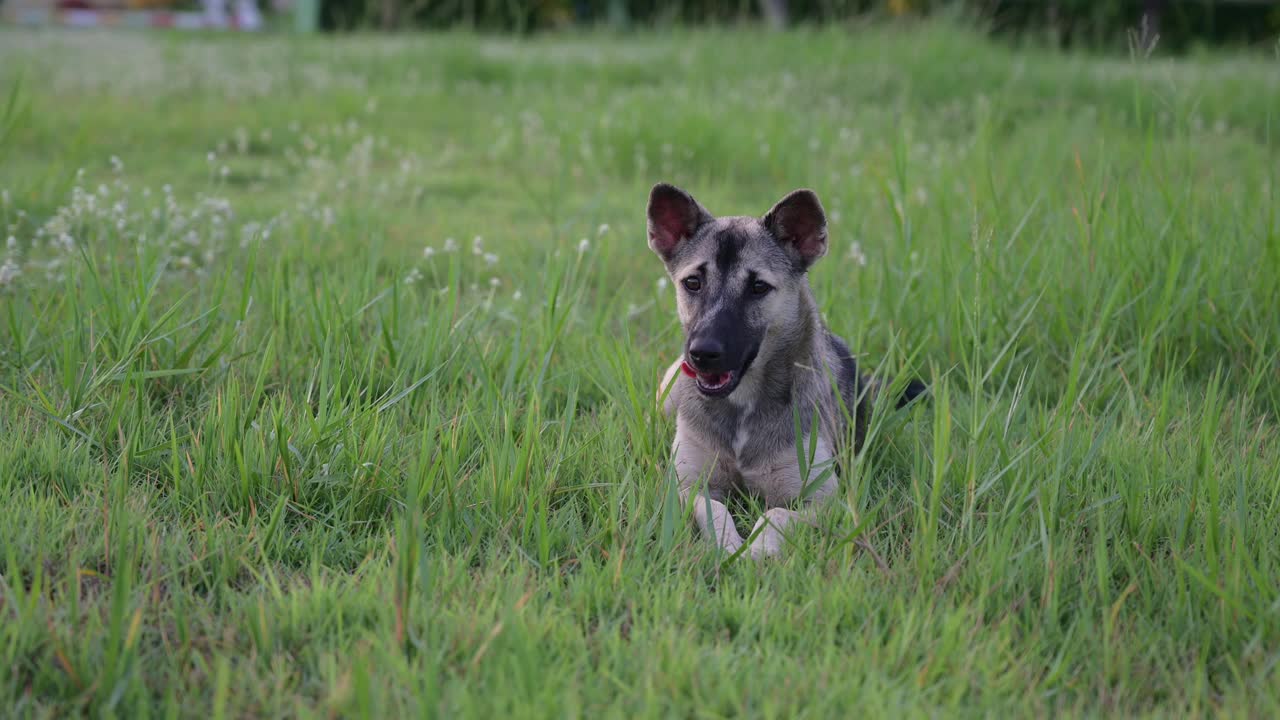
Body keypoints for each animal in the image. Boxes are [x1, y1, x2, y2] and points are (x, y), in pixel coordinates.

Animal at [650, 181, 921, 558]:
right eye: (693, 283)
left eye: (758, 287)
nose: (702, 353)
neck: (743, 404)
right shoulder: (687, 487)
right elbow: (714, 508)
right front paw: (727, 544)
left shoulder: (822, 499)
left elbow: (775, 515)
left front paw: (753, 551)